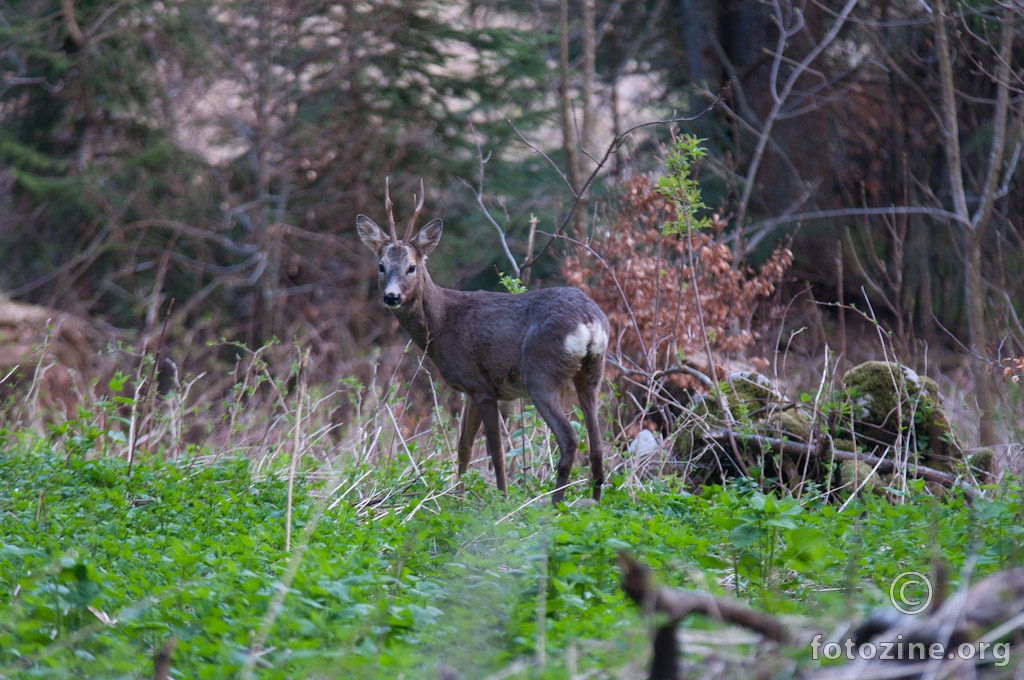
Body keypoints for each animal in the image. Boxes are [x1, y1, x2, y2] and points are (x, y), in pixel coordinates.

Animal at [358, 183, 606, 501]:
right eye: (381, 265)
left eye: (411, 267)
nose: (391, 296)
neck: (442, 323)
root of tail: (589, 321)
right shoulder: (469, 387)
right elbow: (463, 447)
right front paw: (459, 496)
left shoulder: (482, 386)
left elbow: (495, 451)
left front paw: (501, 498)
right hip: (591, 373)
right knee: (596, 443)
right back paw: (594, 501)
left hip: (541, 374)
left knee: (570, 439)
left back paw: (555, 503)